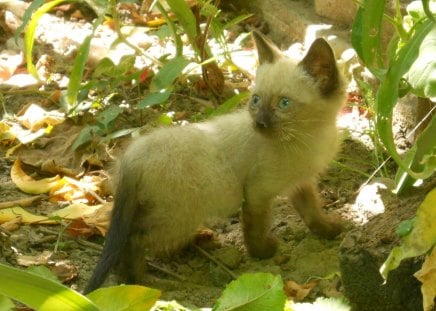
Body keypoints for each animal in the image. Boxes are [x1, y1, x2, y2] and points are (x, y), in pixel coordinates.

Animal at [83, 31, 346, 294]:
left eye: (284, 104)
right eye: (256, 100)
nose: (259, 124)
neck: (310, 137)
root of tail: (134, 152)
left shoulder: (302, 182)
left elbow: (312, 211)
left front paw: (330, 230)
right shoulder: (258, 191)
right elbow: (255, 226)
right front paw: (263, 253)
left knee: (121, 230)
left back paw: (125, 279)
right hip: (184, 211)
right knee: (135, 237)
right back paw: (137, 282)